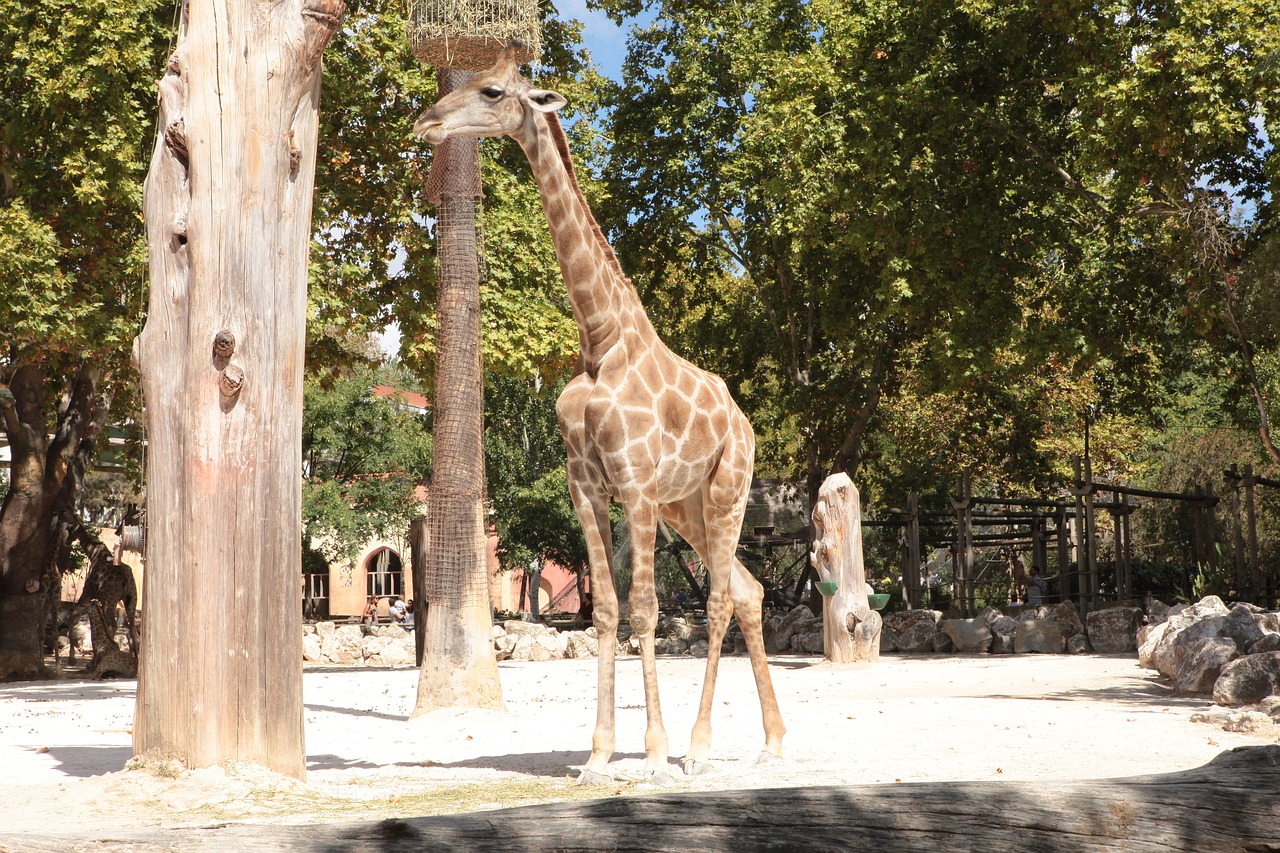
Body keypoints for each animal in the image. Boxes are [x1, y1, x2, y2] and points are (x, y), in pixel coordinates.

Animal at [414, 44, 783, 778]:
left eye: (492, 91)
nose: (428, 122)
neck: (600, 337)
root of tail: (747, 423)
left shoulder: (633, 482)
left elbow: (645, 609)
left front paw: (654, 754)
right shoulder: (586, 483)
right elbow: (608, 610)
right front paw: (598, 754)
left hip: (727, 490)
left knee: (721, 597)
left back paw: (700, 748)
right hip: (686, 508)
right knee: (749, 590)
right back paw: (772, 740)